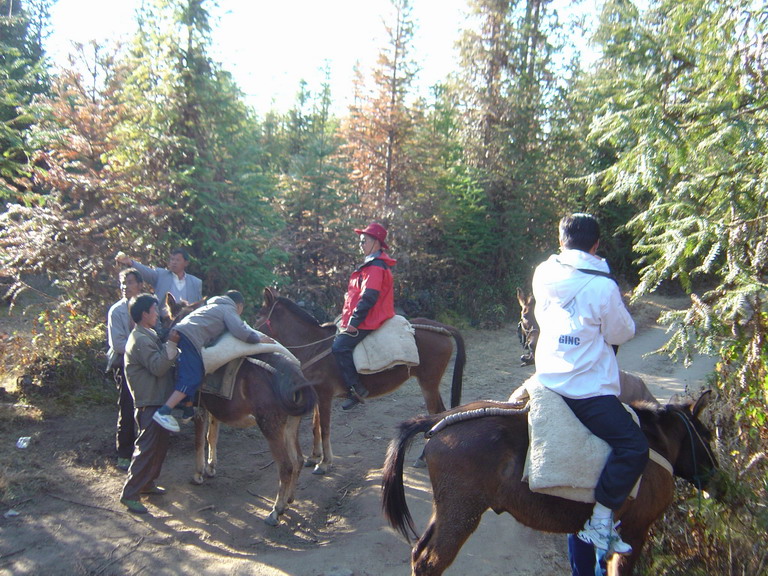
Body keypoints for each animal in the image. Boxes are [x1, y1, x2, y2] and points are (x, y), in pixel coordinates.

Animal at [165, 294, 316, 524]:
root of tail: (294, 377)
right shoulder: (214, 409)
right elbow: (212, 437)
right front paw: (211, 467)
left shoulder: (200, 408)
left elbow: (199, 441)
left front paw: (199, 474)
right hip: (291, 425)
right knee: (298, 460)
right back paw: (289, 499)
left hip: (271, 427)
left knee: (286, 466)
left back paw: (276, 510)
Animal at [255, 288, 464, 472]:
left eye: (258, 318)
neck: (314, 346)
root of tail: (440, 328)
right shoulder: (317, 396)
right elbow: (316, 427)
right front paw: (314, 457)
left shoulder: (325, 396)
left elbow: (324, 428)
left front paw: (324, 463)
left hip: (428, 383)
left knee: (436, 413)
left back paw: (423, 457)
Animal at [380, 392, 716, 576]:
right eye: (707, 435)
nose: (716, 477)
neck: (654, 440)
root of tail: (438, 422)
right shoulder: (637, 530)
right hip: (462, 514)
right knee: (430, 562)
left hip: (449, 511)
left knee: (419, 555)